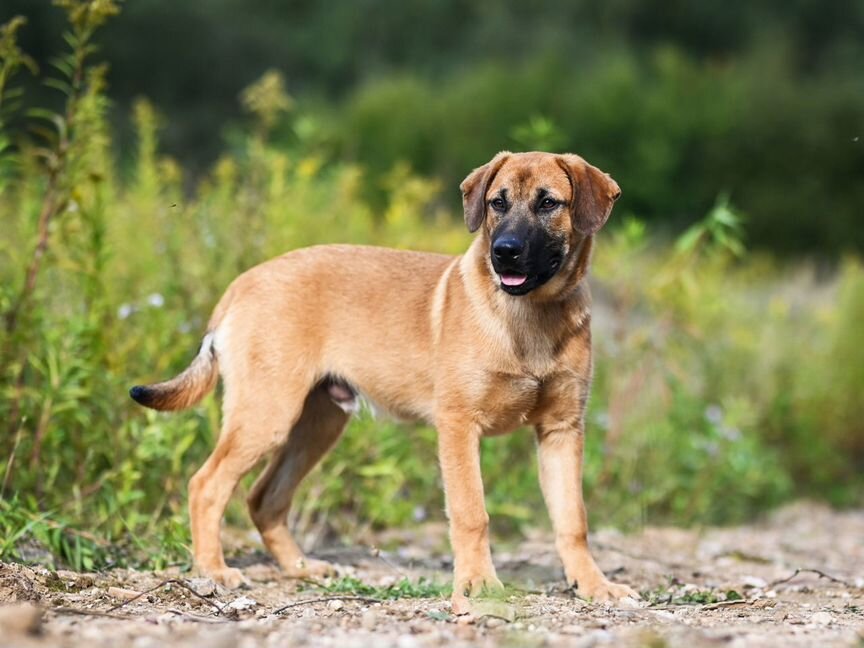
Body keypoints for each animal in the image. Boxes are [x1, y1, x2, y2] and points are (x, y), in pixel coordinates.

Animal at [132, 151, 636, 608]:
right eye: (498, 202)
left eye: (548, 202)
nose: (503, 253)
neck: (532, 316)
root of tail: (241, 284)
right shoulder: (458, 426)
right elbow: (472, 513)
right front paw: (478, 584)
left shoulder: (561, 430)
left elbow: (573, 520)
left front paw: (594, 585)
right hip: (267, 414)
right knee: (207, 485)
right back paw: (214, 570)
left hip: (316, 424)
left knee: (264, 498)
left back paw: (300, 568)